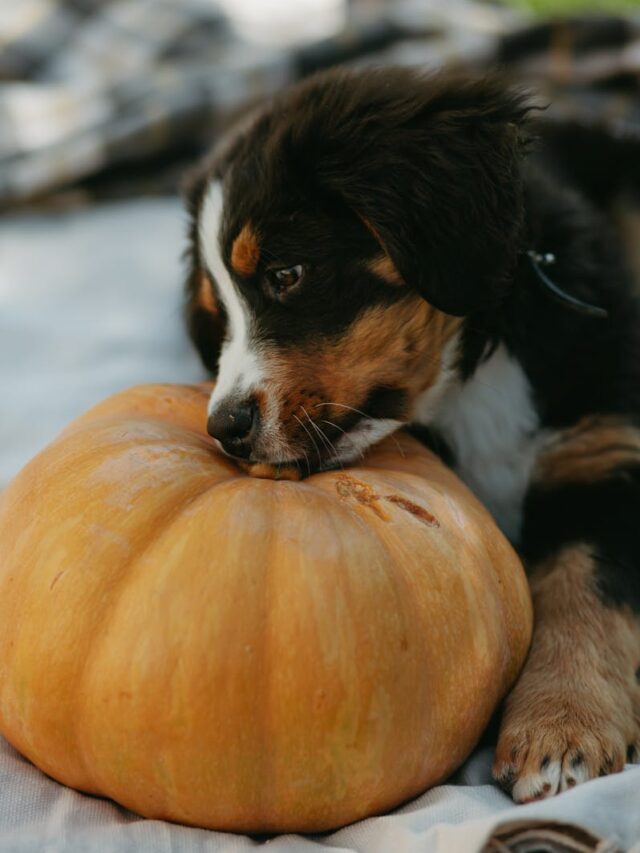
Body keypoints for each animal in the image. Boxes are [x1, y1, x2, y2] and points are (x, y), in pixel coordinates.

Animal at [181, 68, 640, 804]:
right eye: (215, 317)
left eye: (287, 274)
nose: (225, 428)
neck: (473, 377)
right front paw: (561, 729)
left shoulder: (603, 456)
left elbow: (584, 593)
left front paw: (561, 728)